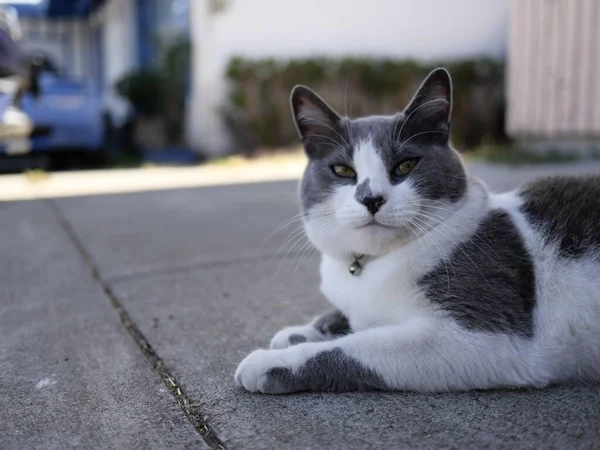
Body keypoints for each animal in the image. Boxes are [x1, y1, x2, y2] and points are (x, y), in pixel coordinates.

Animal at [233, 67, 600, 394]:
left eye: (406, 165)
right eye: (342, 170)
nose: (371, 198)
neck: (376, 264)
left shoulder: (487, 334)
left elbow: (358, 346)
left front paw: (272, 362)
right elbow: (349, 319)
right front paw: (299, 331)